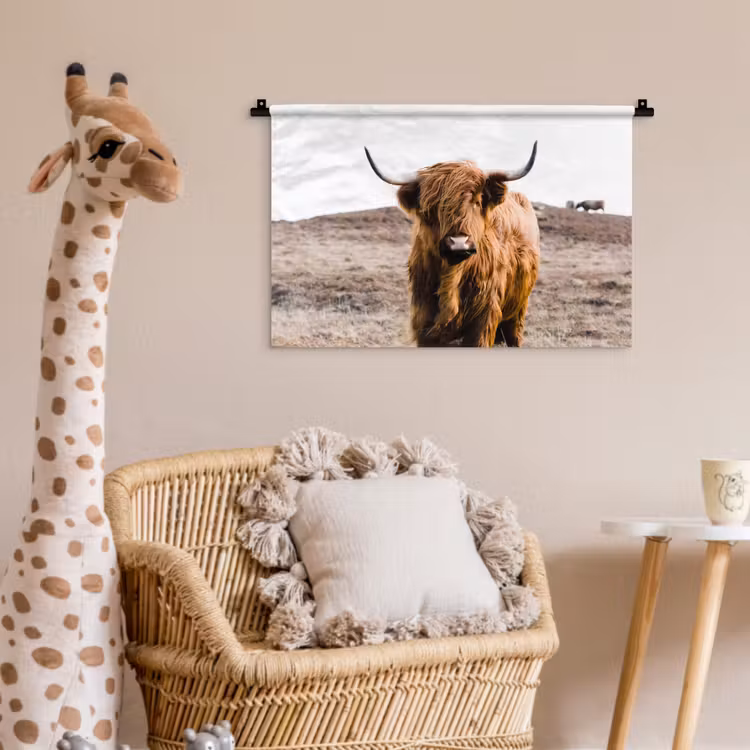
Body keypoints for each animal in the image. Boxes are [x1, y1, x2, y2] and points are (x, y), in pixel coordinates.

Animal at [365, 143, 540, 347]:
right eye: (430, 207)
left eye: (476, 202)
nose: (458, 244)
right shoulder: (423, 320)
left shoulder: (484, 317)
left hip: (518, 311)